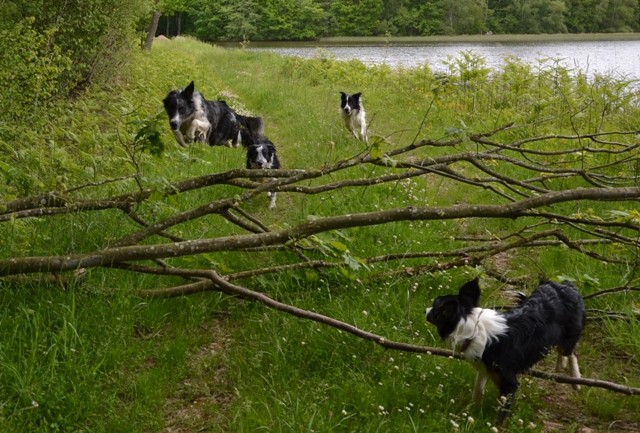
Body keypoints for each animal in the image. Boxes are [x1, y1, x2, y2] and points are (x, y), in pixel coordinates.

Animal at [424, 278, 584, 424]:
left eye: (434, 306)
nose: (425, 310)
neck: (474, 330)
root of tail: (564, 284)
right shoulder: (486, 368)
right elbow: (478, 389)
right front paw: (471, 411)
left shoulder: (509, 383)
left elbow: (502, 414)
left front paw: (493, 426)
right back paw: (560, 365)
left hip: (568, 338)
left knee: (572, 352)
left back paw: (576, 380)